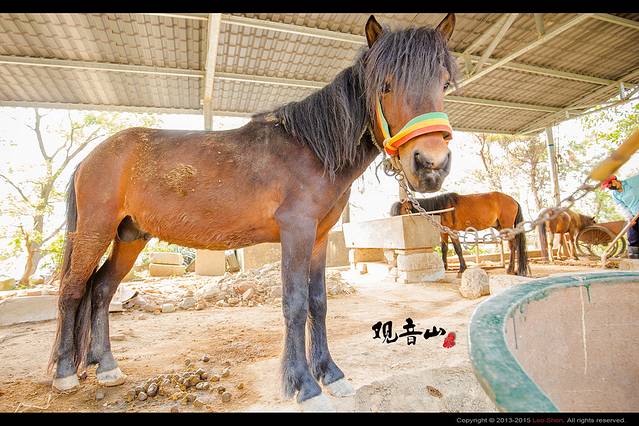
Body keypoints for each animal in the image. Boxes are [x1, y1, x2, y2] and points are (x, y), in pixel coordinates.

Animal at [47, 14, 458, 410]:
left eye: (444, 84)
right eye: (385, 86)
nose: (431, 165)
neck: (311, 149)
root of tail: (90, 157)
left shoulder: (319, 238)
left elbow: (318, 302)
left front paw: (331, 375)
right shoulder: (296, 232)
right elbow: (294, 304)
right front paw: (305, 386)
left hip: (130, 237)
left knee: (102, 290)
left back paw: (106, 368)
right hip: (95, 231)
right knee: (72, 291)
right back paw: (65, 373)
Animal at [390, 191, 530, 276]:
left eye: (402, 211)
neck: (442, 208)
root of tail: (513, 200)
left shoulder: (452, 232)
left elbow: (458, 249)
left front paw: (462, 268)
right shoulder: (443, 232)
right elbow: (444, 249)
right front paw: (445, 267)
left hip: (506, 227)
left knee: (513, 246)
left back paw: (511, 269)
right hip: (500, 226)